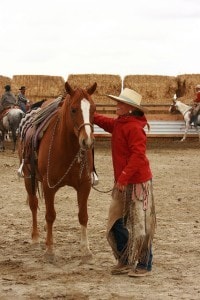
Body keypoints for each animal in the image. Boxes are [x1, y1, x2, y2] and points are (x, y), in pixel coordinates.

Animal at [17, 82, 97, 260]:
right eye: (73, 109)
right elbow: (50, 215)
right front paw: (49, 249)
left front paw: (86, 249)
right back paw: (35, 237)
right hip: (28, 177)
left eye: (93, 109)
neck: (66, 148)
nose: (87, 141)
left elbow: (83, 215)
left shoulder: (85, 185)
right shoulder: (49, 186)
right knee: (33, 204)